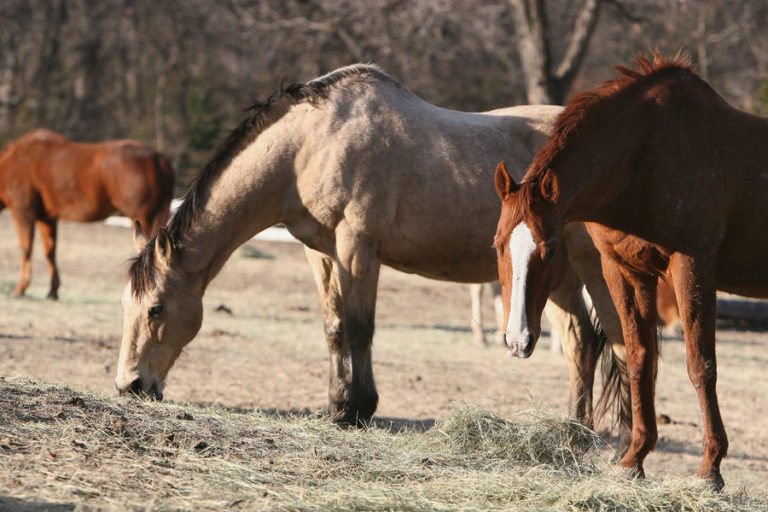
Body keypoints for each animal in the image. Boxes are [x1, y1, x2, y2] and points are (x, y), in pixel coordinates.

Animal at [0, 129, 175, 299]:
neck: (15, 162)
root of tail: (159, 159)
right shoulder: (47, 218)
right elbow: (50, 251)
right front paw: (52, 291)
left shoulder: (23, 213)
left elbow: (26, 249)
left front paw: (20, 288)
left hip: (144, 217)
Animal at [114, 64, 628, 436]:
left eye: (156, 309)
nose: (130, 385)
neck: (310, 144)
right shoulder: (321, 252)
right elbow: (335, 328)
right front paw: (337, 406)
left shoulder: (357, 247)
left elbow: (361, 329)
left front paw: (358, 410)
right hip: (555, 276)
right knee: (580, 341)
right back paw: (572, 432)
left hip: (592, 270)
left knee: (616, 340)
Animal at [492, 52, 766, 489]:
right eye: (498, 245)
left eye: (550, 250)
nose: (517, 340)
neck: (645, 159)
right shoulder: (624, 270)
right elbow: (639, 358)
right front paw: (633, 458)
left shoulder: (692, 265)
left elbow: (699, 363)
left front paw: (710, 468)